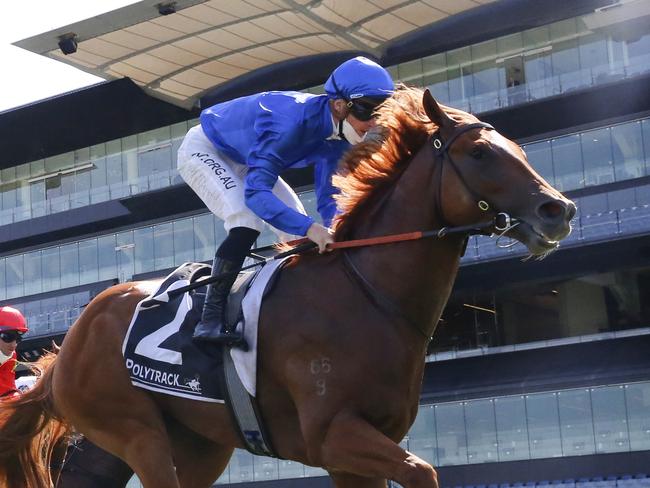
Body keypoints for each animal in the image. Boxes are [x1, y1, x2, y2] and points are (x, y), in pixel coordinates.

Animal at [0, 88, 572, 488]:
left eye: (516, 147)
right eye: (479, 153)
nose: (558, 210)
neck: (367, 296)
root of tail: (73, 340)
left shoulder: (362, 450)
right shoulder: (332, 436)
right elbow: (422, 471)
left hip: (182, 445)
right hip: (134, 432)